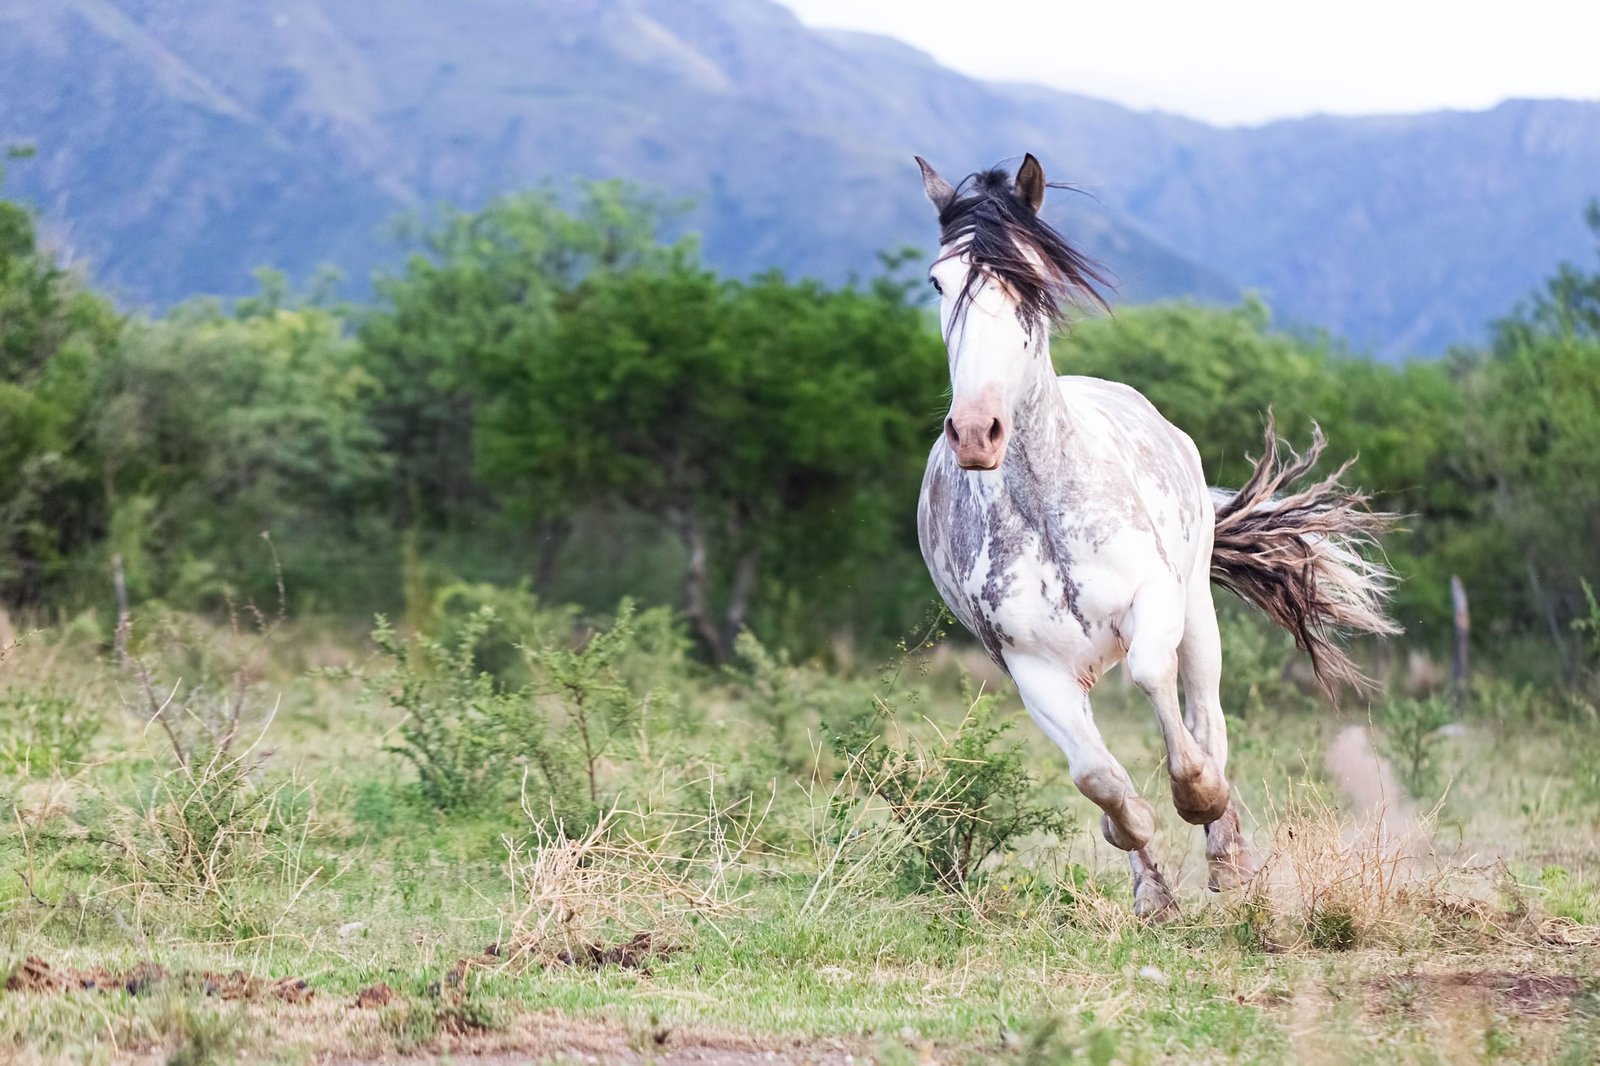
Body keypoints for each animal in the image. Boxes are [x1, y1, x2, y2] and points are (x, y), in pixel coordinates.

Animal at [915, 153, 1401, 915]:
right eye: (940, 280)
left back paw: (1229, 854)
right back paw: (1156, 887)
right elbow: (1098, 778)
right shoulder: (1031, 666)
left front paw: (1198, 798)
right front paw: (1140, 859)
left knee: (1207, 718)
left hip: (1198, 609)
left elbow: (1157, 688)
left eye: (1030, 276)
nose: (974, 431)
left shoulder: (1155, 604)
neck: (1045, 508)